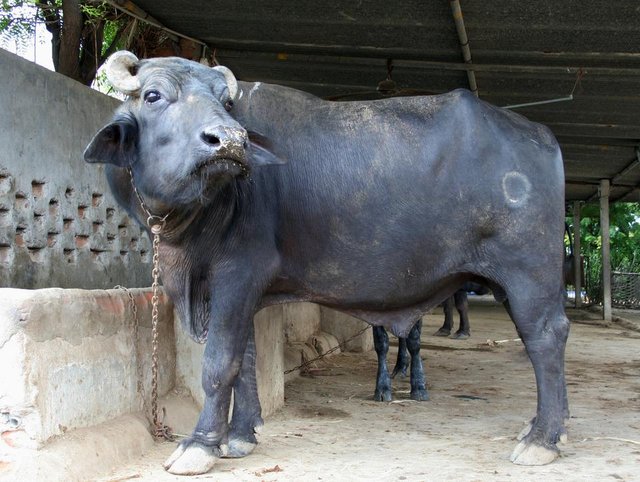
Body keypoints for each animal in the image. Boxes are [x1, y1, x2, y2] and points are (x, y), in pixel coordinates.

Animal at [82, 51, 568, 474]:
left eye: (226, 102)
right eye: (153, 95)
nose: (230, 141)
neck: (194, 222)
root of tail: (541, 136)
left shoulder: (235, 276)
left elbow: (221, 363)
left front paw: (201, 445)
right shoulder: (245, 292)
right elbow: (247, 359)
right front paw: (240, 436)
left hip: (529, 275)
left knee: (546, 337)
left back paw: (540, 439)